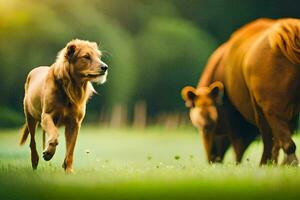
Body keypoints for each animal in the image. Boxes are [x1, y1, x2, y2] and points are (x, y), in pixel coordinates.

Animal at [19, 38, 108, 172]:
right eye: (86, 57)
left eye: (99, 56)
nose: (105, 67)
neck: (72, 87)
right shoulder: (46, 116)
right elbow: (55, 135)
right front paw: (49, 153)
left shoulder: (75, 123)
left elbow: (70, 149)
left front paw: (68, 170)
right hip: (30, 117)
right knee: (32, 143)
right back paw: (35, 162)